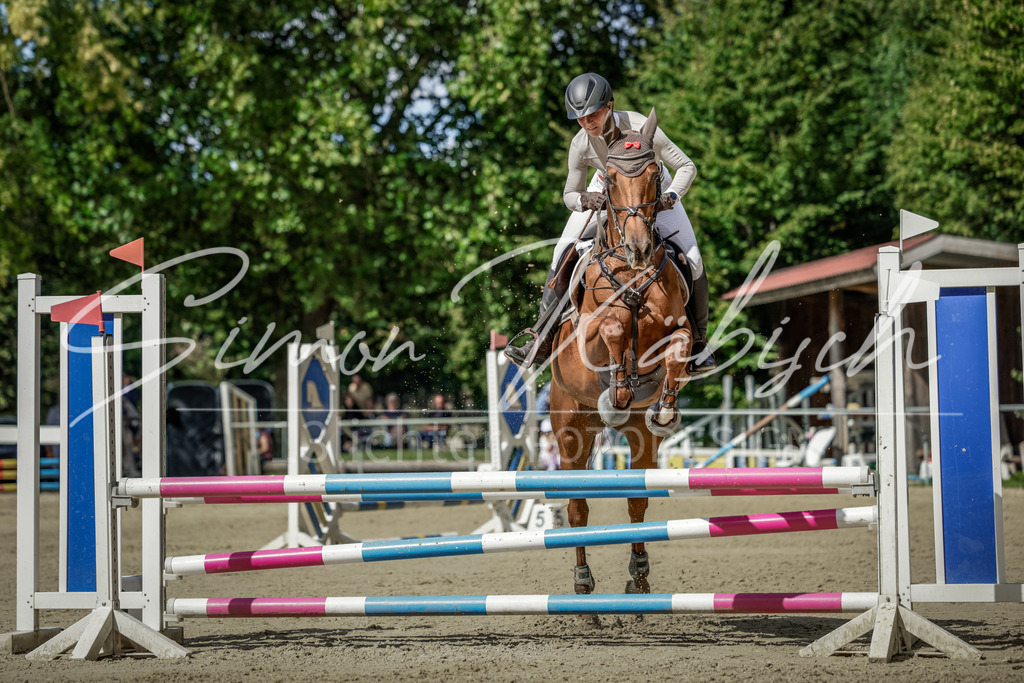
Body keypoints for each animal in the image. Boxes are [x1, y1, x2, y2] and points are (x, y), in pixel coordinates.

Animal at [548, 109, 693, 596]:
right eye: (609, 180)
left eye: (655, 175)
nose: (639, 248)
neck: (630, 275)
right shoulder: (588, 339)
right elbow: (612, 327)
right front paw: (619, 388)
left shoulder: (678, 329)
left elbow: (678, 349)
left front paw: (663, 407)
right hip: (569, 430)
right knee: (576, 508)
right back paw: (582, 582)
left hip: (638, 440)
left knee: (636, 501)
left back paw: (639, 576)